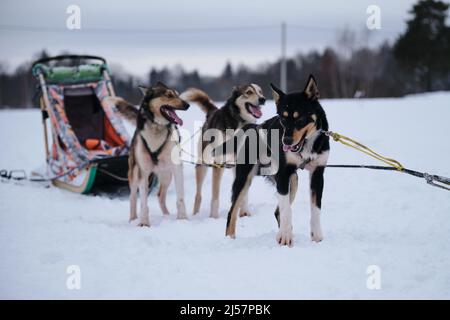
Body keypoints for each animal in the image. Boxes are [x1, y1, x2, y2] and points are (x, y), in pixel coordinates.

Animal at [108, 82, 190, 226]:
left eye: (178, 94)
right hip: (134, 175)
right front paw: (144, 223)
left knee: (160, 196)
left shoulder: (177, 169)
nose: (187, 105)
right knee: (133, 198)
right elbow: (143, 203)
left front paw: (182, 219)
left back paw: (167, 216)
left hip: (166, 175)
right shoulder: (144, 172)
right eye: (169, 95)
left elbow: (180, 198)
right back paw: (133, 219)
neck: (157, 129)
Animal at [179, 84, 264, 219]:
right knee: (198, 195)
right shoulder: (218, 164)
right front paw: (214, 217)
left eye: (260, 92)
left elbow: (243, 194)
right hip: (203, 164)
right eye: (249, 92)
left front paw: (244, 213)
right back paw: (196, 214)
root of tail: (213, 112)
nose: (263, 99)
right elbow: (215, 196)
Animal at [225, 76, 330, 246]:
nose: (286, 141)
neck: (306, 147)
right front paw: (285, 237)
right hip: (245, 178)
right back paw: (230, 239)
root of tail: (251, 127)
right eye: (282, 118)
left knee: (277, 211)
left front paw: (317, 237)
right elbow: (286, 209)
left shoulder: (317, 174)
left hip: (292, 180)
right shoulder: (283, 173)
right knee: (232, 211)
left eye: (300, 118)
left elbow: (315, 208)